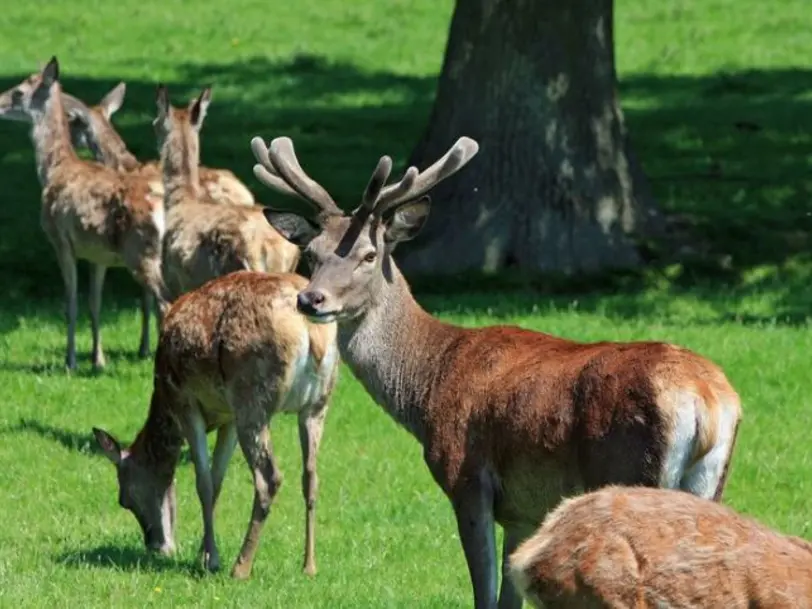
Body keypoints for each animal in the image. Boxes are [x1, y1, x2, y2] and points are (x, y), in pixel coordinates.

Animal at [0, 58, 167, 370]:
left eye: (18, 92)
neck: (55, 170)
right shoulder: (96, 253)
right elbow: (94, 302)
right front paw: (98, 360)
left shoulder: (60, 240)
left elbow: (71, 301)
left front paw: (71, 361)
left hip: (141, 250)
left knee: (164, 302)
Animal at [93, 270, 340, 580]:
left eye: (124, 498)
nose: (156, 545)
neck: (163, 399)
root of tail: (311, 332)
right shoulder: (229, 417)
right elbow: (218, 478)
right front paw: (204, 552)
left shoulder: (187, 402)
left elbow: (204, 482)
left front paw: (210, 560)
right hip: (317, 403)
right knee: (311, 475)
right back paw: (309, 565)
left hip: (252, 398)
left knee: (269, 478)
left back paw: (241, 566)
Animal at [251, 137, 744, 608]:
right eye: (311, 252)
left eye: (370, 255)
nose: (310, 299)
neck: (427, 387)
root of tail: (707, 401)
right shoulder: (523, 511)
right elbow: (509, 596)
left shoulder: (468, 477)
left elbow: (484, 594)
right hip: (709, 482)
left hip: (631, 469)